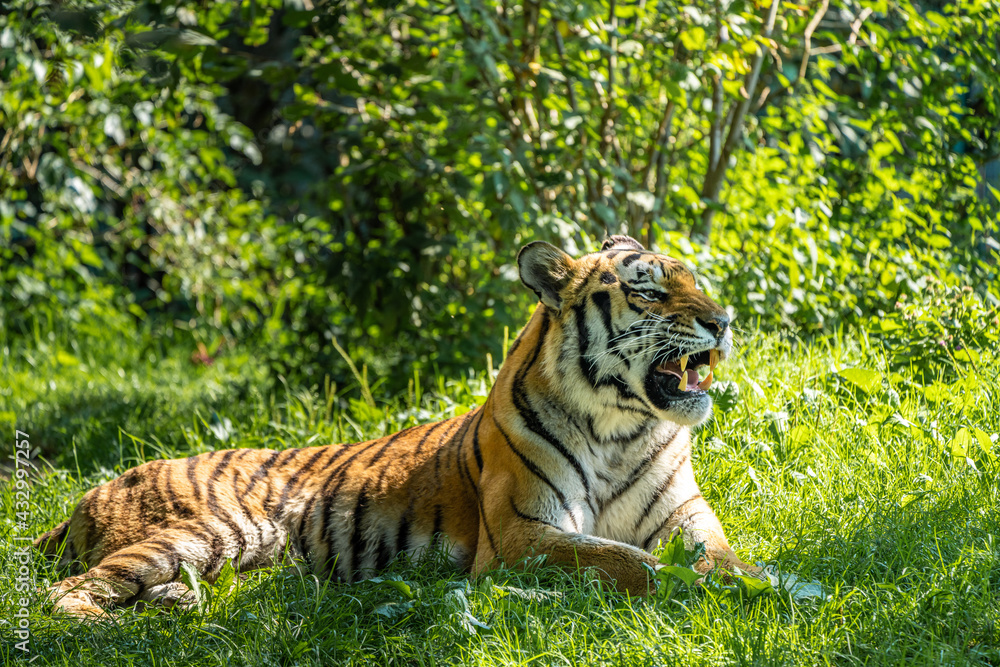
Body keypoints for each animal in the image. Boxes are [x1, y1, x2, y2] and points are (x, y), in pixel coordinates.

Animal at [35, 234, 760, 618]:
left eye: (695, 280)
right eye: (647, 291)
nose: (723, 320)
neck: (622, 428)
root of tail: (92, 491)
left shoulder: (686, 518)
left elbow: (723, 556)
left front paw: (754, 580)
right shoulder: (522, 533)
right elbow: (626, 560)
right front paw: (696, 591)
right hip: (213, 528)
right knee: (63, 592)